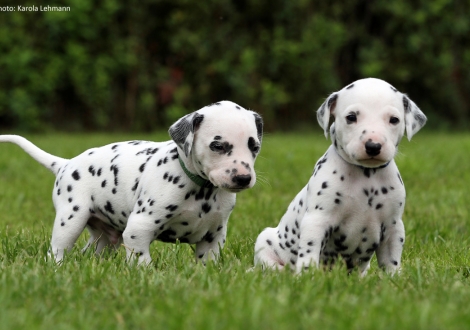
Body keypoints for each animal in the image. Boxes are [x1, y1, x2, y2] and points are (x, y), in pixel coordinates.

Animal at [0, 100, 262, 266]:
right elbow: (142, 261)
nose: (243, 178)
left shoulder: (213, 237)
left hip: (105, 238)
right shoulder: (139, 228)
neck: (200, 189)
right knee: (56, 251)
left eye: (255, 147)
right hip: (70, 220)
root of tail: (66, 164)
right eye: (217, 145)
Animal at [255, 78, 428, 276]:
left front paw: (393, 278)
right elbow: (309, 252)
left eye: (394, 120)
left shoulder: (393, 226)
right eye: (351, 117)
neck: (367, 176)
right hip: (264, 241)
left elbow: (391, 259)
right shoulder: (317, 221)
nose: (373, 146)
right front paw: (307, 276)